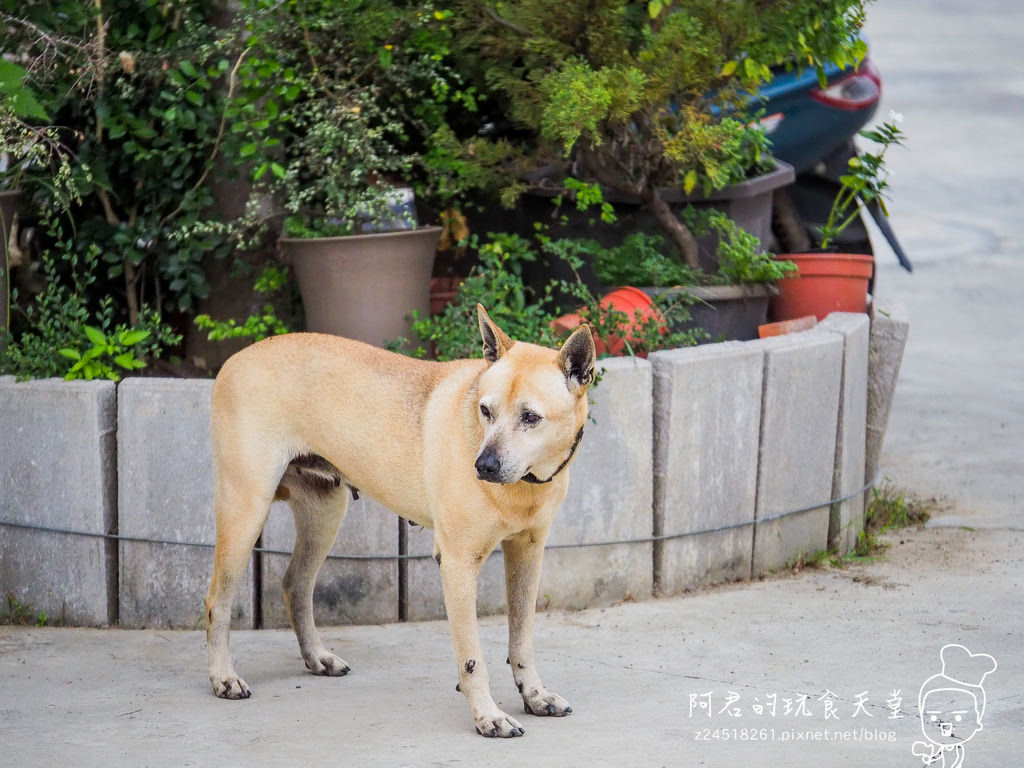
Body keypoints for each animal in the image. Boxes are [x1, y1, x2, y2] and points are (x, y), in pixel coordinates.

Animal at [203, 305, 598, 741]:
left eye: (531, 417)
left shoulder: (528, 554)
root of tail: (236, 359)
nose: (483, 466)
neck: (526, 482)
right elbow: (472, 658)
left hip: (324, 513)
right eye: (485, 411)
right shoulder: (458, 565)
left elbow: (522, 640)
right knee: (217, 601)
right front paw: (487, 715)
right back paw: (223, 677)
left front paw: (534, 695)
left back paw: (317, 657)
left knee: (296, 584)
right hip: (246, 510)